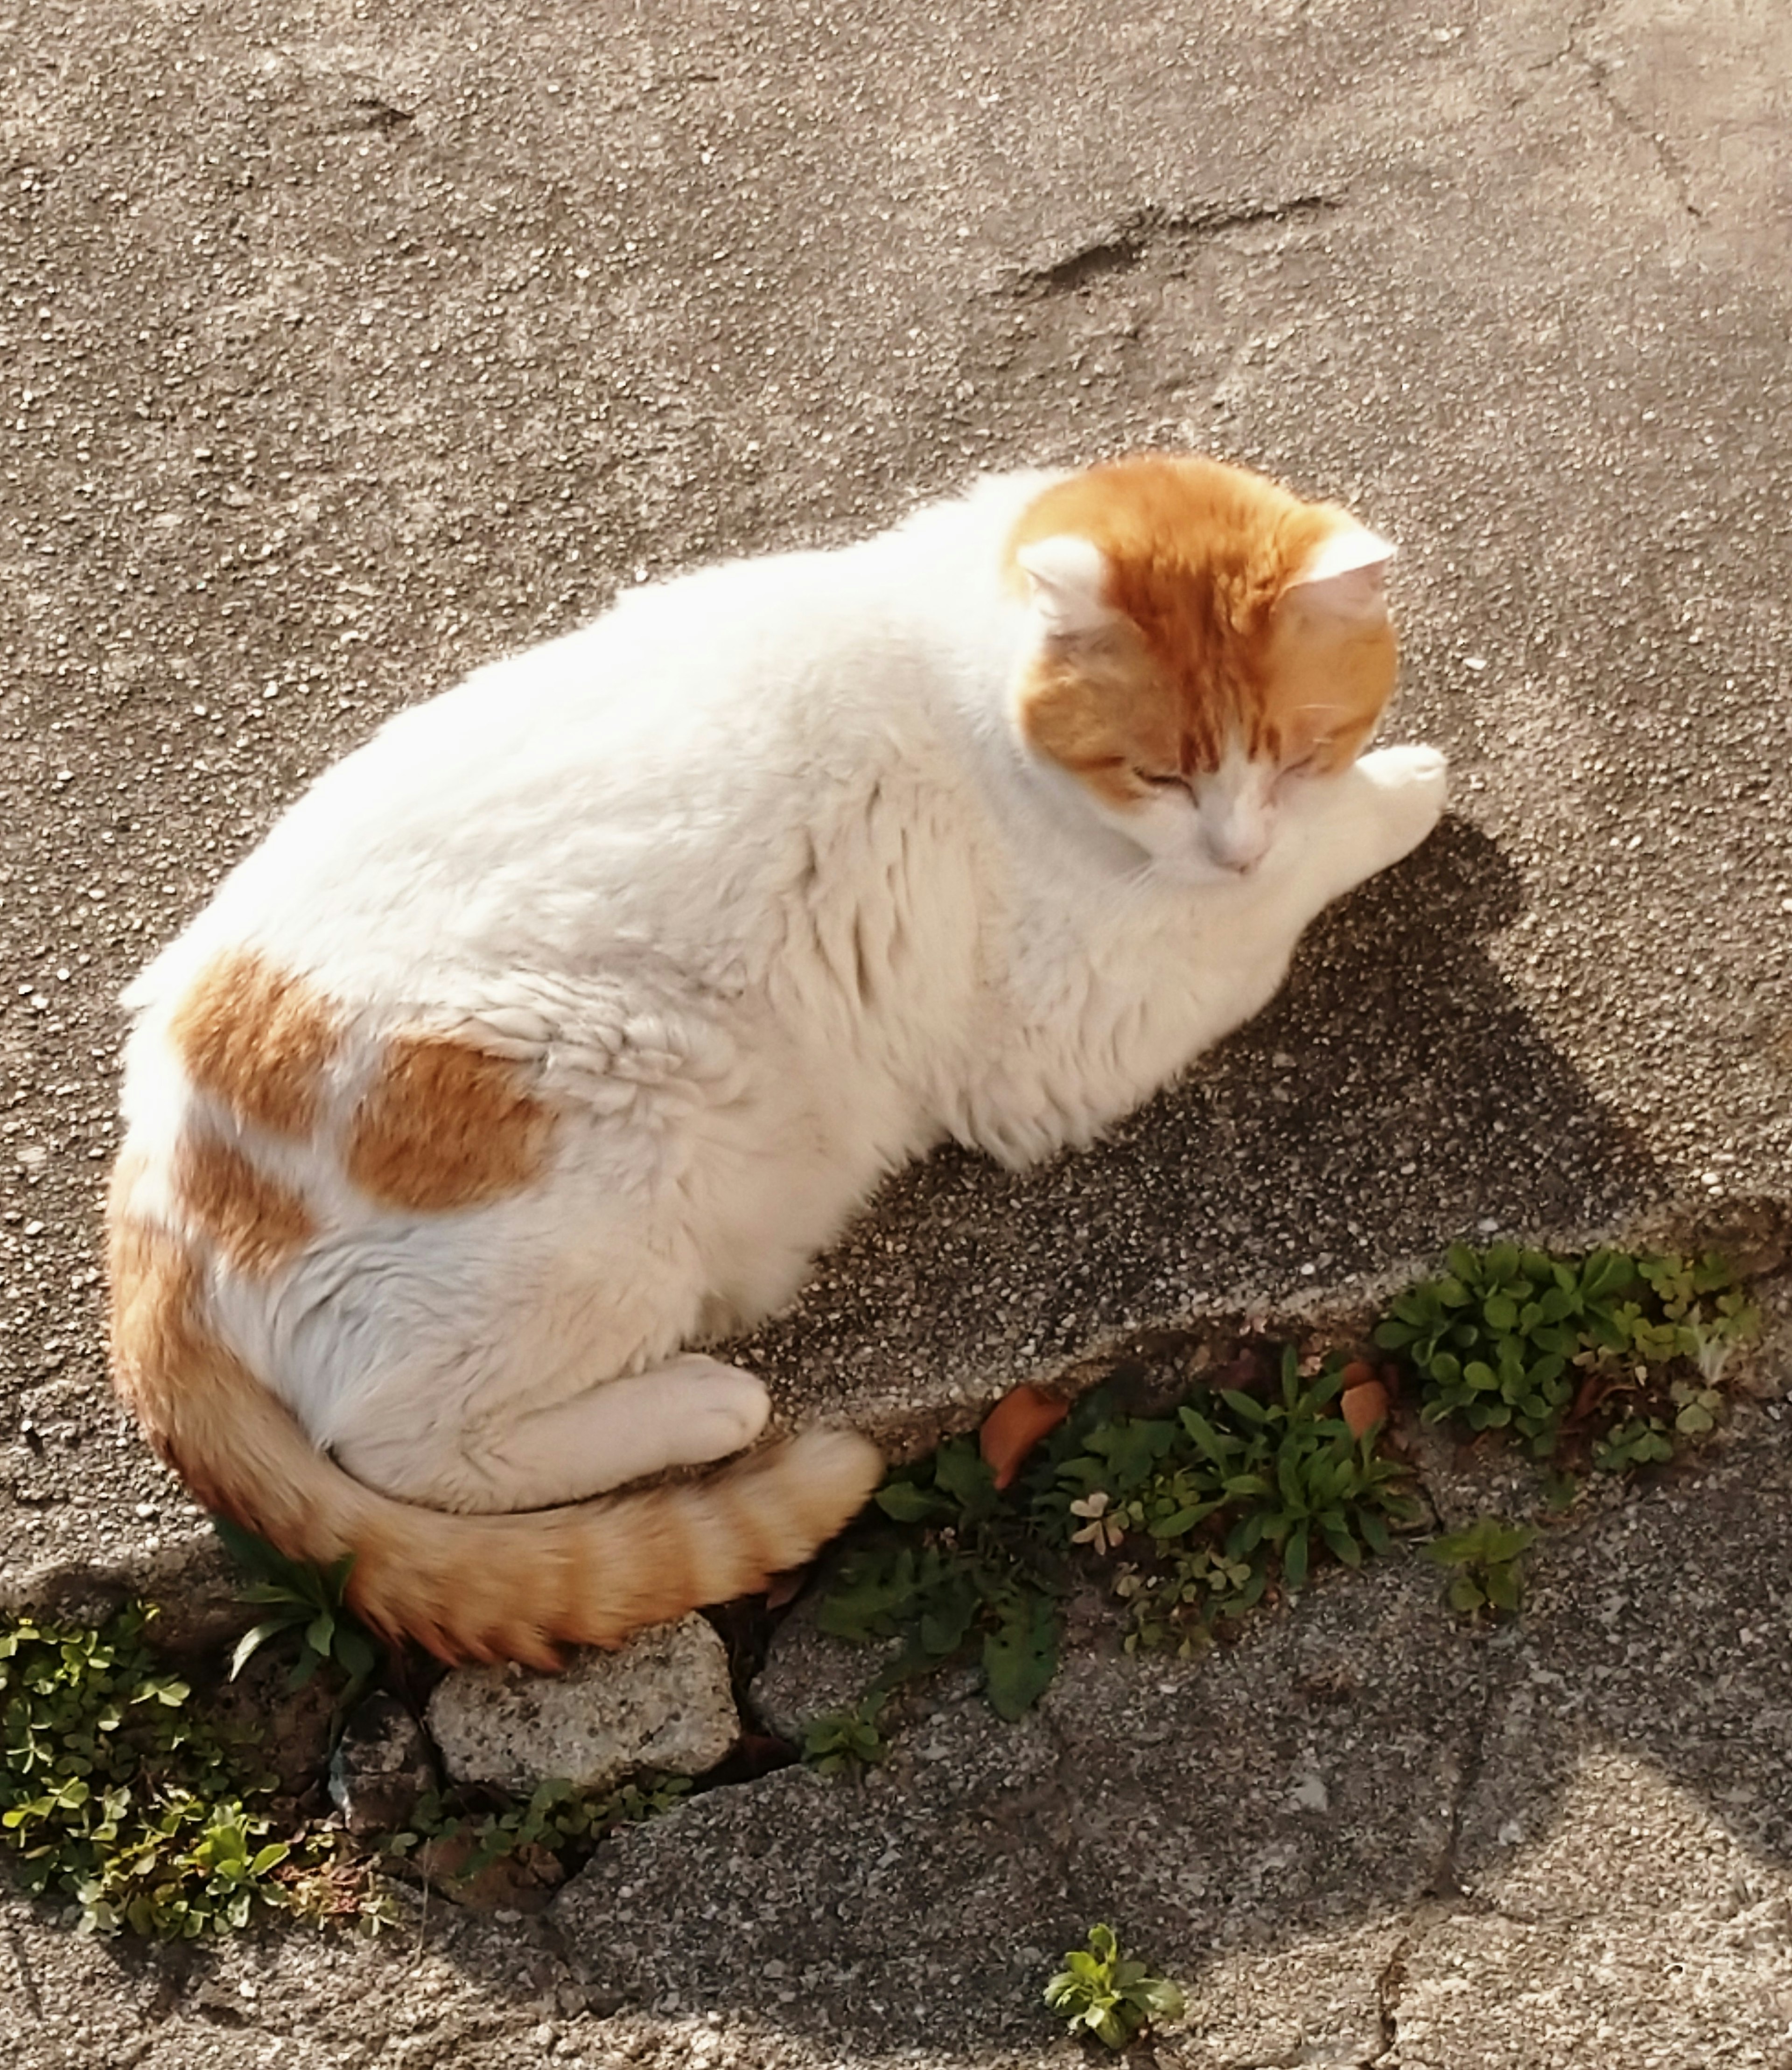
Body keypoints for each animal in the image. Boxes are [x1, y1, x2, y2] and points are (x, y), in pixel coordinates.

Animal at [104, 453, 1448, 1664]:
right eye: (1160, 771)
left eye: (1296, 746)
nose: (1230, 842)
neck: (969, 679)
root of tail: (155, 1192)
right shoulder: (1073, 1030)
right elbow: (1289, 884)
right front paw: (1402, 797)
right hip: (610, 1172)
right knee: (402, 1444)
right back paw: (705, 1402)